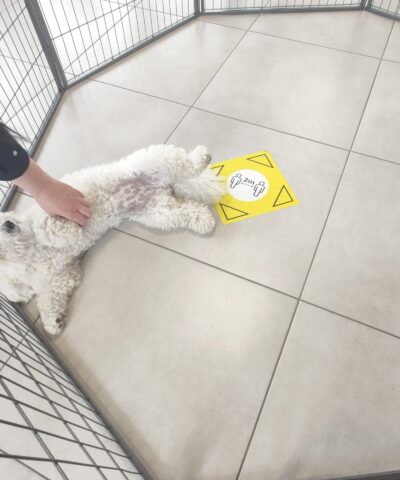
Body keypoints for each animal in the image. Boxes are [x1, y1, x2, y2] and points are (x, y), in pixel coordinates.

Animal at [0, 144, 225, 336]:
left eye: (1, 218)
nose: (8, 224)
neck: (27, 252)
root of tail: (166, 184)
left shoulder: (46, 214)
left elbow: (46, 227)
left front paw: (65, 230)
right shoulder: (61, 277)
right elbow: (48, 299)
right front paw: (52, 322)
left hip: (151, 160)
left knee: (184, 162)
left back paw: (201, 156)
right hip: (158, 213)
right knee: (188, 211)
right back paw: (203, 220)